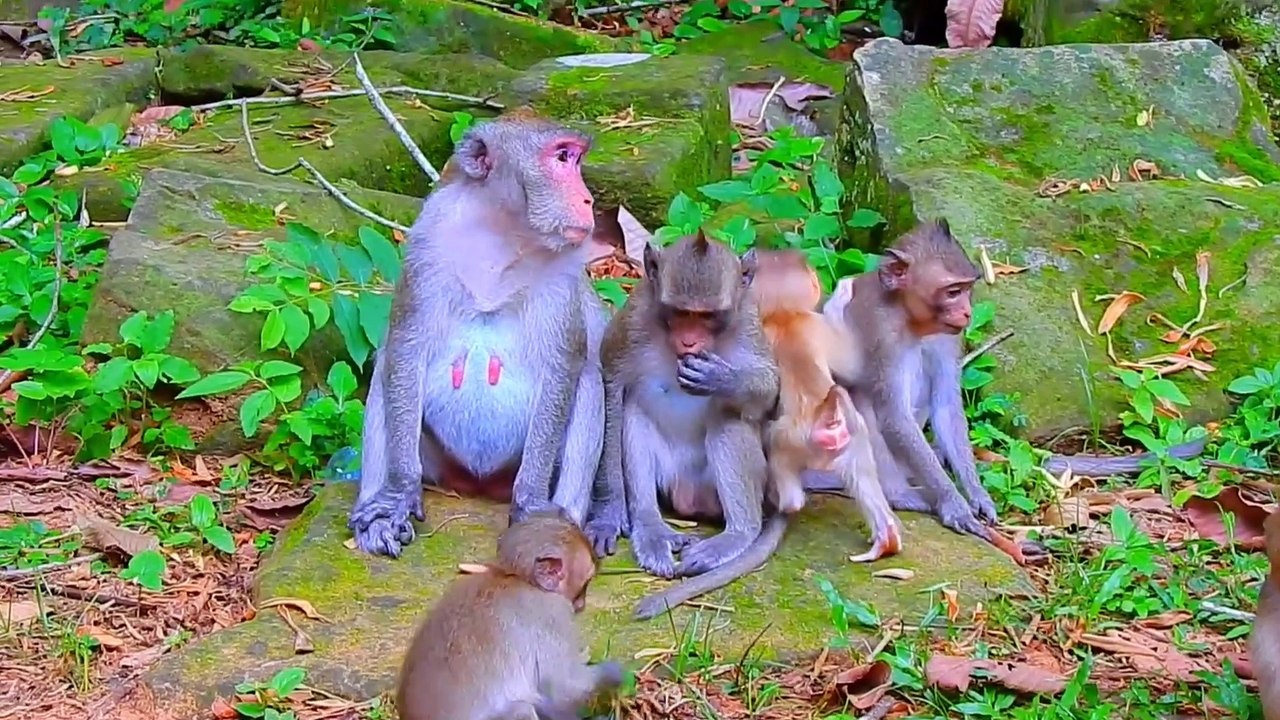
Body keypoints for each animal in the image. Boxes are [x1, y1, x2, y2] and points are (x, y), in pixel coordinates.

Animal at [348, 110, 627, 558]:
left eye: (576, 159)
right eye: (562, 157)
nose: (588, 202)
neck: (502, 240)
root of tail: (479, 485)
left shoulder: (565, 272)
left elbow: (563, 369)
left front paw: (531, 504)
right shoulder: (426, 247)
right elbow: (405, 350)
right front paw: (399, 493)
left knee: (587, 380)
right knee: (387, 367)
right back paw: (376, 512)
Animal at [396, 509, 624, 720]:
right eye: (585, 584)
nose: (581, 604)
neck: (517, 578)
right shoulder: (553, 613)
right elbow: (563, 691)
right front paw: (614, 673)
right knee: (522, 709)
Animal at [599, 232, 780, 604]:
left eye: (709, 317)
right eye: (680, 313)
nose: (689, 341)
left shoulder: (747, 320)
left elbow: (770, 391)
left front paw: (723, 379)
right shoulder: (635, 317)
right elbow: (612, 385)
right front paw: (611, 511)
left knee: (728, 416)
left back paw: (738, 534)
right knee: (634, 413)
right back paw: (650, 525)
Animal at [805, 219, 999, 539]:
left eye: (967, 289)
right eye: (952, 292)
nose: (967, 312)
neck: (910, 319)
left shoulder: (948, 337)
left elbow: (946, 408)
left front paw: (977, 494)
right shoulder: (882, 334)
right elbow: (893, 416)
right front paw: (954, 505)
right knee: (859, 399)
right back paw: (900, 494)